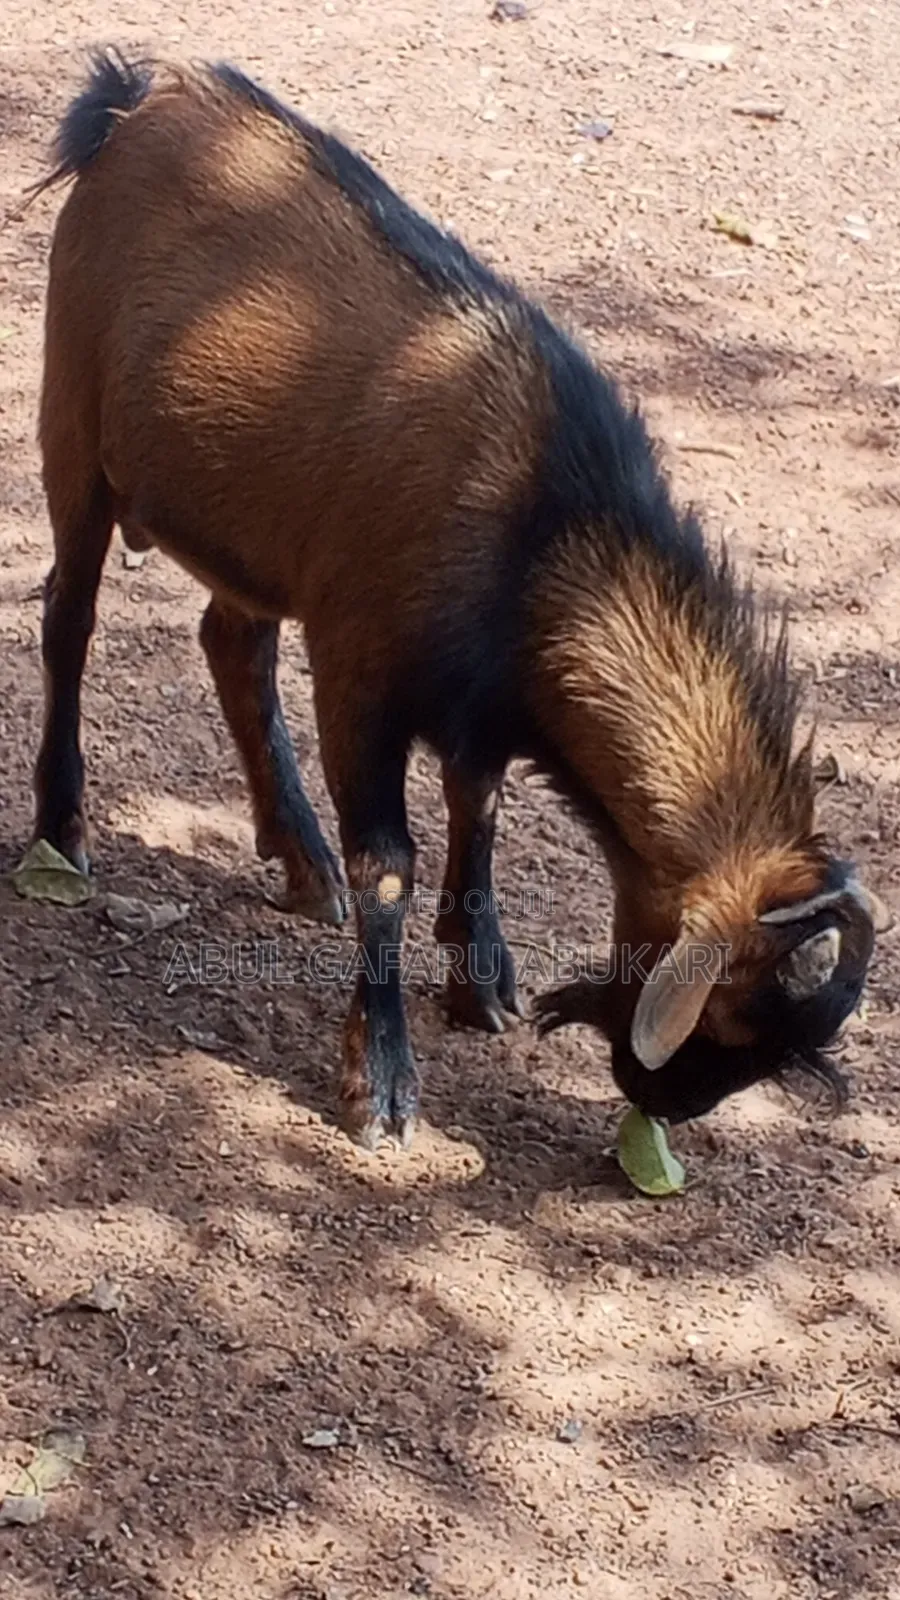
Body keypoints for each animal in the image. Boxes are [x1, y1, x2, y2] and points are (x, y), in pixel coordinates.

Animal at [30, 51, 879, 1149]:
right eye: (734, 1012)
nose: (658, 1101)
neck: (542, 527)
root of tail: (136, 97)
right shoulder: (358, 670)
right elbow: (389, 862)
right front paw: (382, 1082)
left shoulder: (477, 708)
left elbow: (480, 809)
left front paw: (483, 982)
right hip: (73, 425)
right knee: (69, 619)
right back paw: (64, 831)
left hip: (244, 526)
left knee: (231, 641)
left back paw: (301, 860)